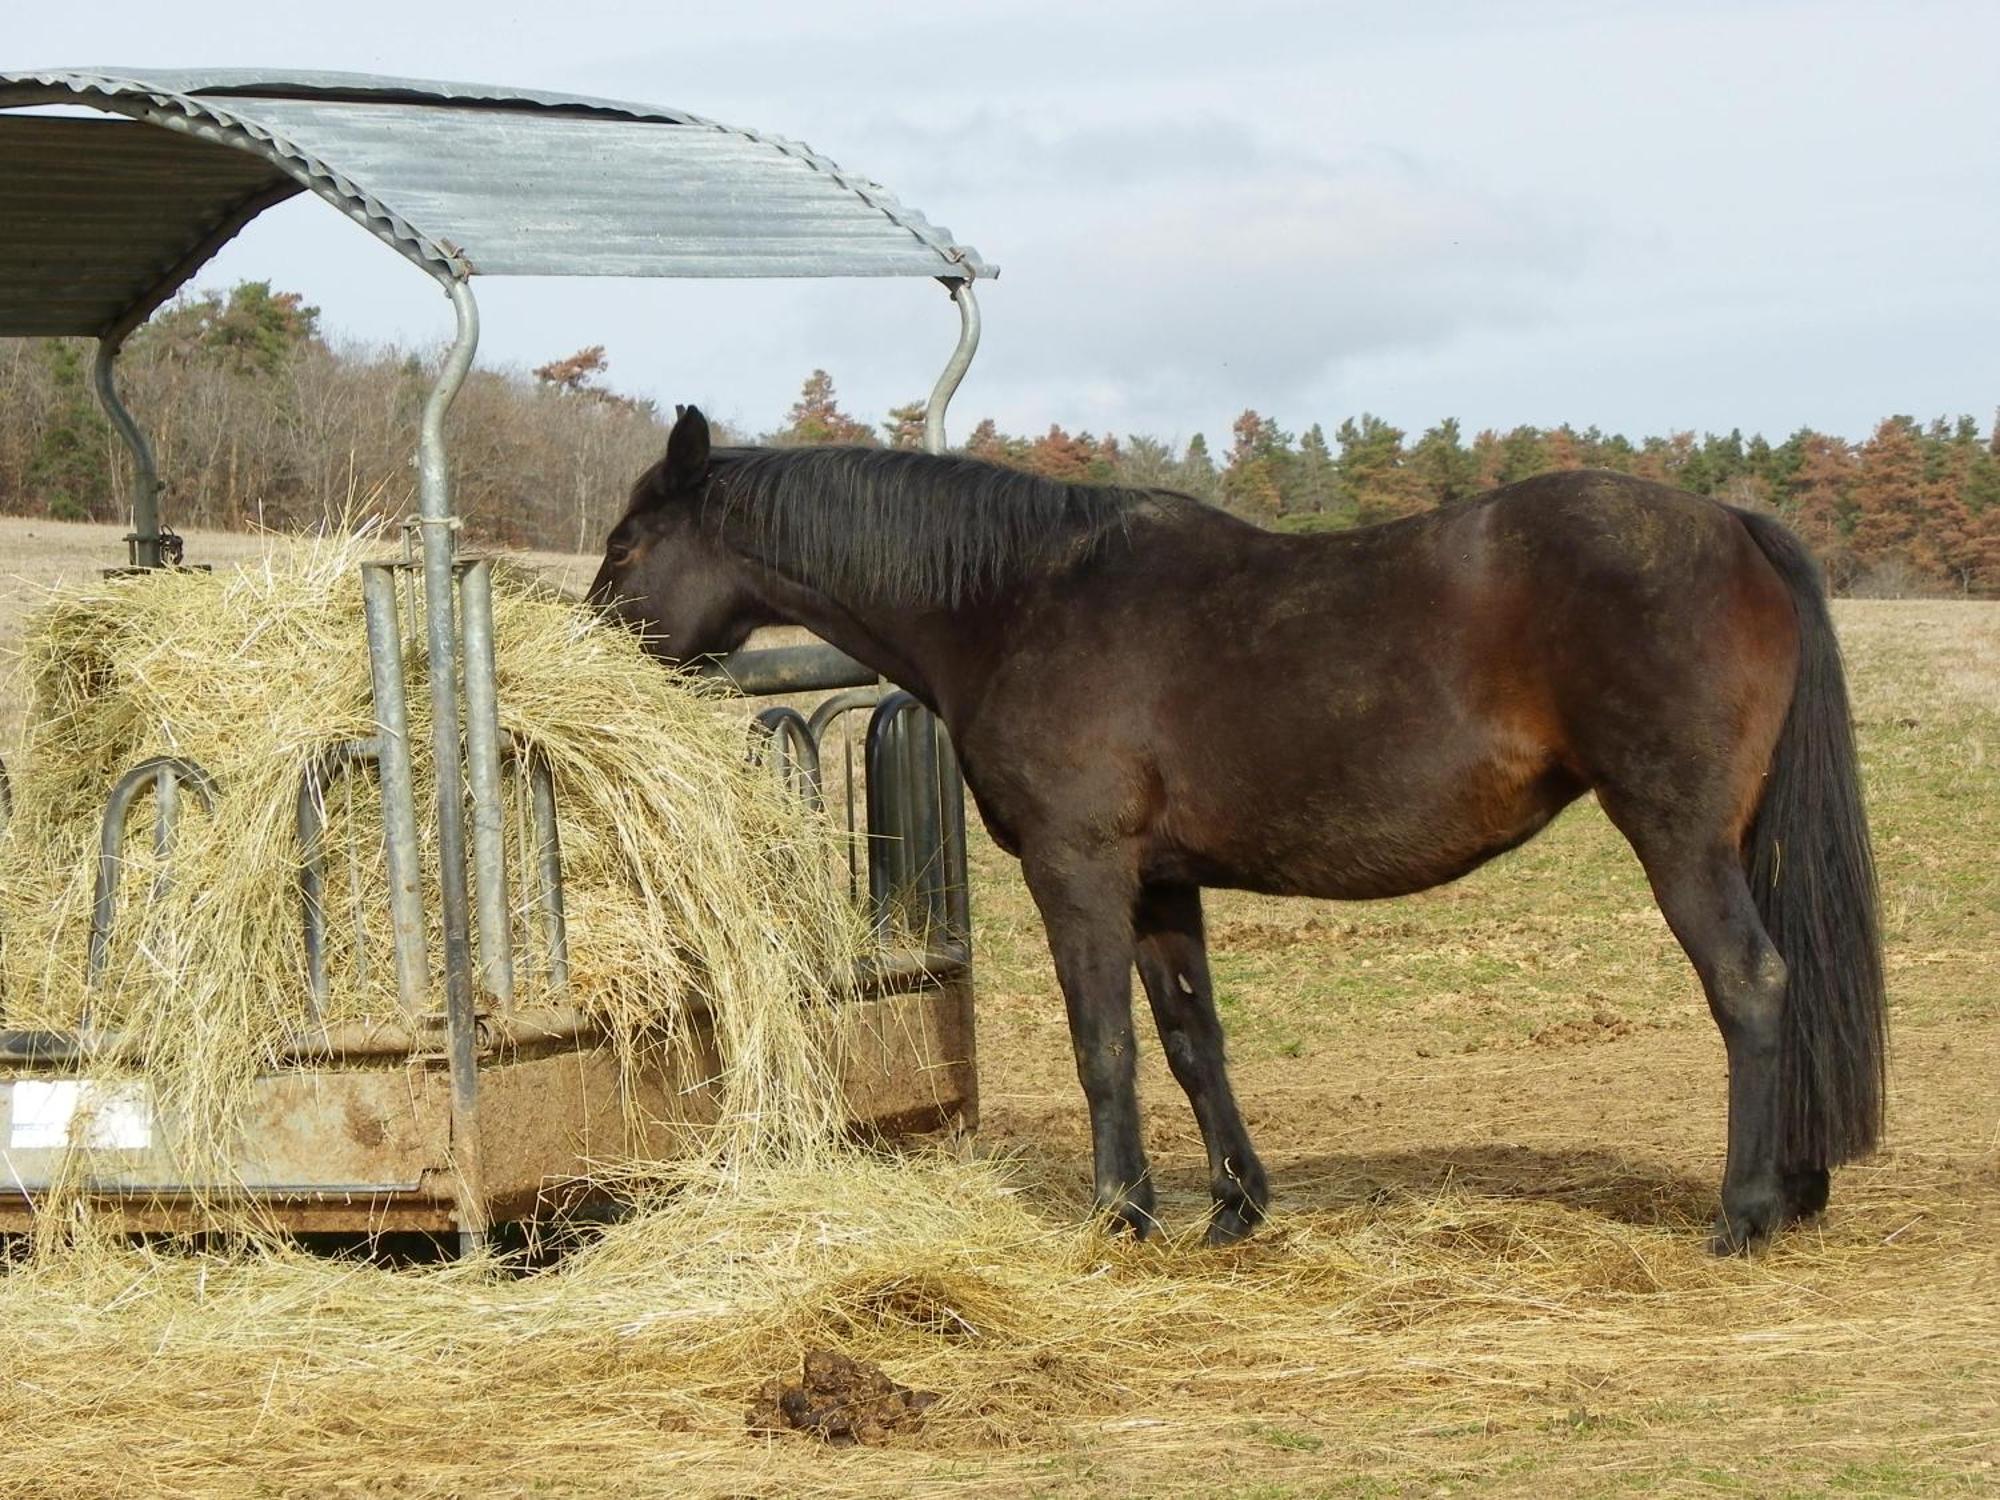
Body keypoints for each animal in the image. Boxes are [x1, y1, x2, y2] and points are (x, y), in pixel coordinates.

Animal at [584, 408, 1880, 1256]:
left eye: (628, 543)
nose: (590, 643)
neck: (1017, 601)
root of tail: (1730, 524)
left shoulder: (1077, 870)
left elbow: (1102, 1045)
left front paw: (1118, 1216)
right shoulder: (1162, 885)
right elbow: (1189, 1042)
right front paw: (1231, 1208)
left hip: (1677, 837)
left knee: (1752, 986)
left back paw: (1740, 1214)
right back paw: (1794, 1187)